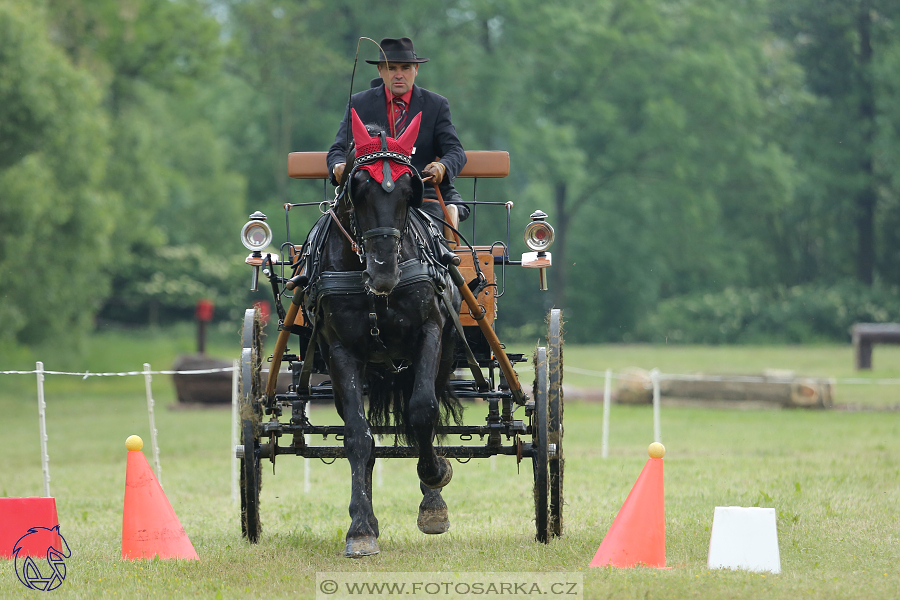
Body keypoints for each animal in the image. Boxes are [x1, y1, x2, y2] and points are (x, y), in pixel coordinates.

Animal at [310, 109, 464, 556]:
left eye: (410, 190)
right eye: (358, 188)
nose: (384, 273)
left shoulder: (429, 333)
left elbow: (423, 412)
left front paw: (435, 479)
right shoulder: (340, 351)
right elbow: (358, 437)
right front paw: (361, 528)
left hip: (441, 355)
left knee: (427, 414)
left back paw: (433, 499)